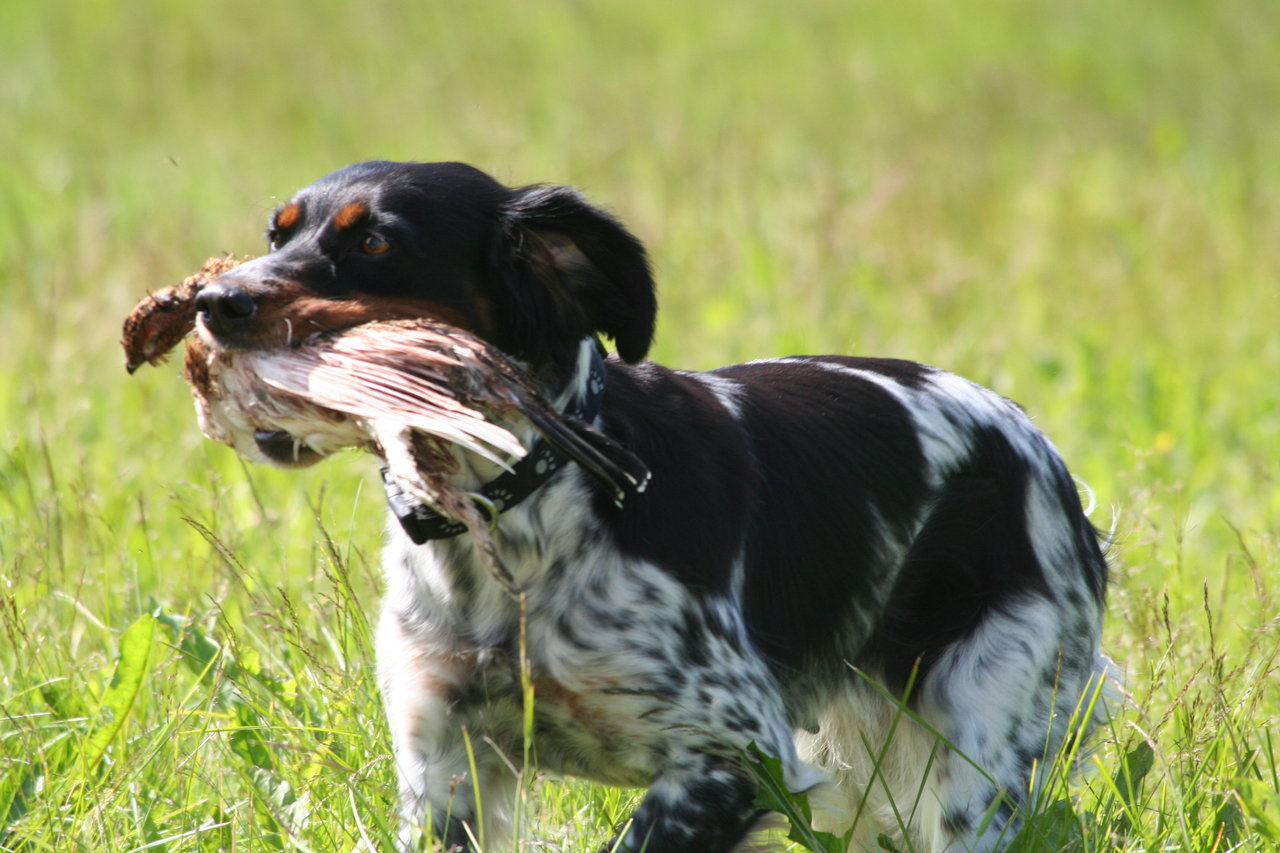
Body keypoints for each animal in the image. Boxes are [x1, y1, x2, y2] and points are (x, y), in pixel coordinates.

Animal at [192, 161, 1111, 850]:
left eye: (376, 239)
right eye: (278, 233)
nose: (213, 301)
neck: (523, 513)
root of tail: (1043, 453)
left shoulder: (737, 754)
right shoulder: (445, 759)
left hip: (977, 746)